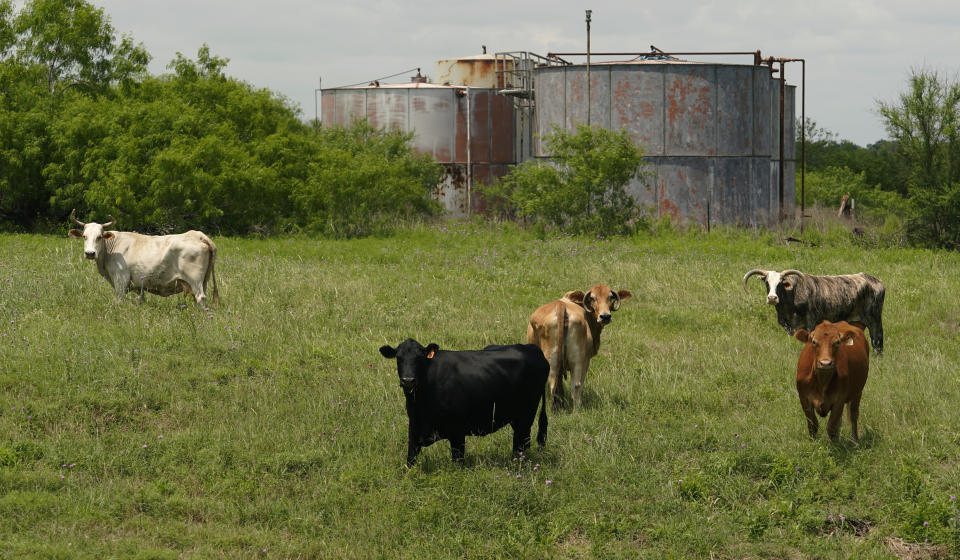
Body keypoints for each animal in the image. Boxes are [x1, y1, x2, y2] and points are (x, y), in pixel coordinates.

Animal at [69, 210, 219, 306]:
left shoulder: (120, 279)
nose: (90, 253)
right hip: (203, 281)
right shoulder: (137, 285)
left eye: (99, 237)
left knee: (200, 297)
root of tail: (198, 235)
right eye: (84, 236)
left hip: (195, 280)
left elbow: (119, 300)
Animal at [380, 340, 552, 466]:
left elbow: (458, 462)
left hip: (526, 415)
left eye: (420, 358)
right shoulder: (414, 427)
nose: (408, 380)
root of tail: (531, 347)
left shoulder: (457, 432)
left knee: (521, 443)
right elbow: (410, 460)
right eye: (399, 358)